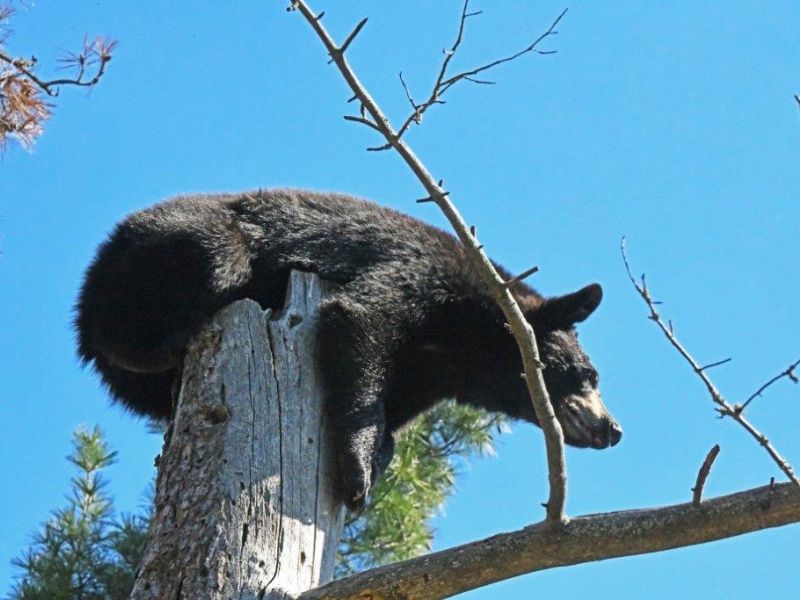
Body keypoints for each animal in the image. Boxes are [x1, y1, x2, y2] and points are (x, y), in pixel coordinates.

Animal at [75, 188, 621, 510]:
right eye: (588, 374)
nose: (612, 428)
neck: (465, 330)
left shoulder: (431, 373)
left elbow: (396, 404)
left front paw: (382, 453)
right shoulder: (416, 275)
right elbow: (359, 320)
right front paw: (357, 468)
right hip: (181, 241)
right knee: (213, 259)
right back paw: (160, 343)